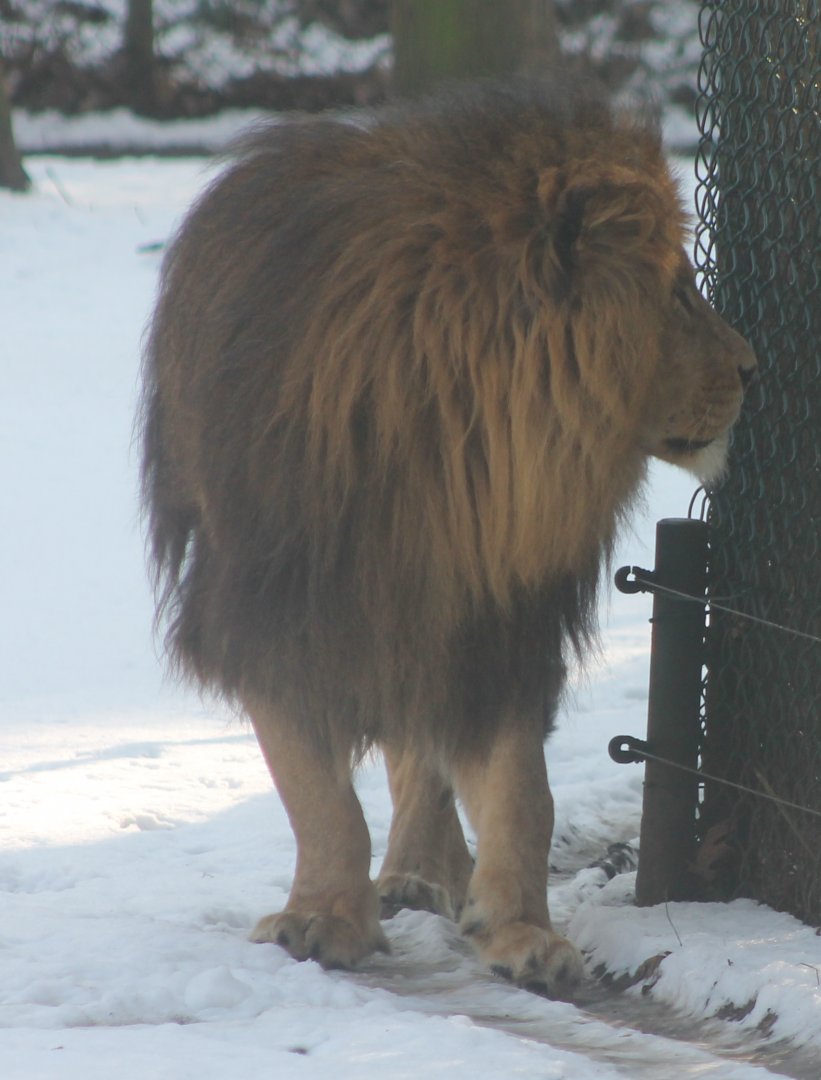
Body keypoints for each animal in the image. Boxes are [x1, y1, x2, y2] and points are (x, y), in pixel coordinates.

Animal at [140, 79, 755, 999]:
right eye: (678, 293)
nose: (752, 367)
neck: (454, 454)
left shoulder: (496, 615)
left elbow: (520, 792)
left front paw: (520, 931)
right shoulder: (277, 611)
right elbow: (318, 796)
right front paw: (323, 921)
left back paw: (428, 872)